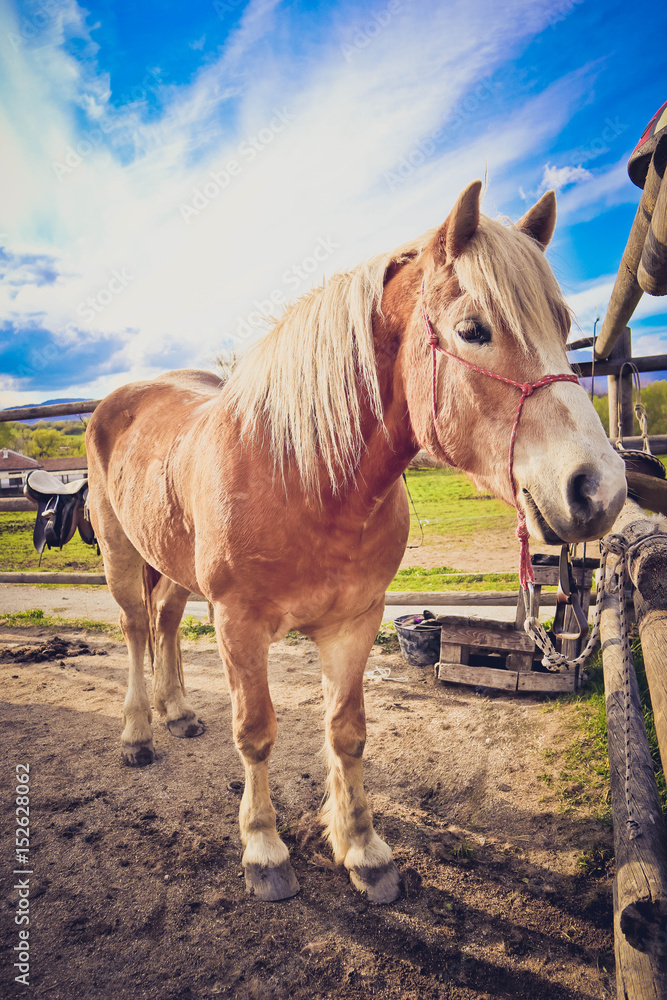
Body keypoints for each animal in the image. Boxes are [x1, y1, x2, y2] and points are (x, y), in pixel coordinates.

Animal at [85, 181, 627, 904]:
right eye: (473, 330)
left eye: (562, 326)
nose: (599, 489)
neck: (302, 477)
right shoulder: (238, 624)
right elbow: (255, 733)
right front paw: (264, 850)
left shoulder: (356, 622)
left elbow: (347, 734)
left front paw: (362, 850)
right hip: (122, 557)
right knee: (137, 632)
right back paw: (139, 733)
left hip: (170, 560)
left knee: (167, 621)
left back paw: (177, 714)